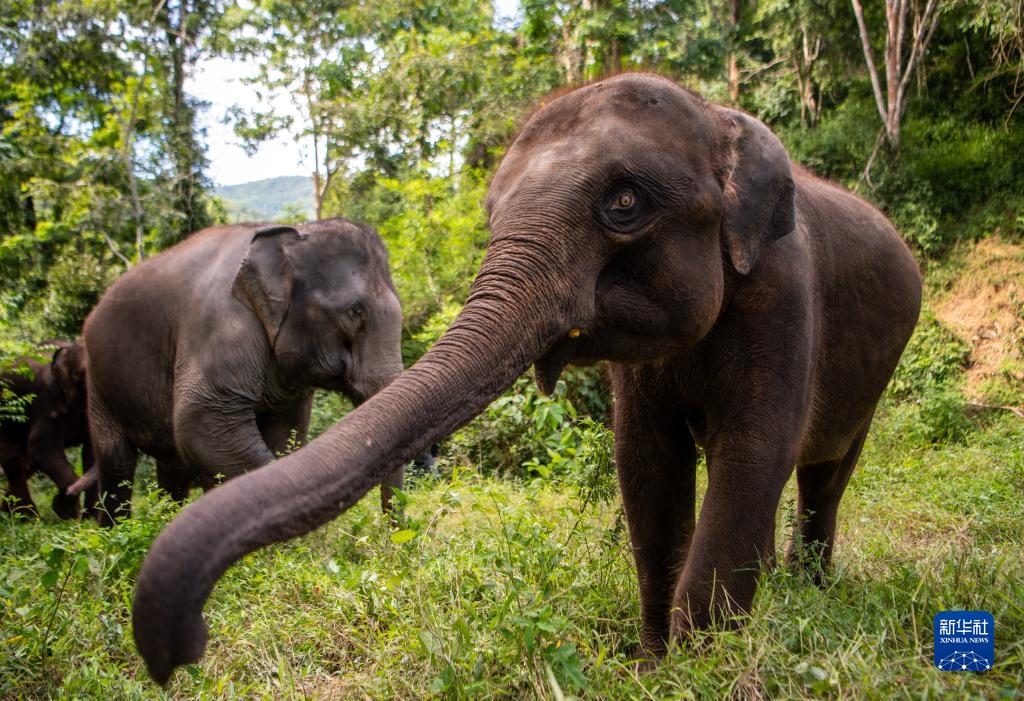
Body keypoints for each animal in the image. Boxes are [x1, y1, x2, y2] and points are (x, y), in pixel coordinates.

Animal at [0, 341, 95, 515]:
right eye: (83, 381)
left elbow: (91, 450)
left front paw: (91, 516)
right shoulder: (47, 399)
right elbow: (41, 446)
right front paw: (67, 511)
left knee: (27, 463)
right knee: (14, 460)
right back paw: (24, 515)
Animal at [80, 218, 415, 523]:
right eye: (354, 312)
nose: (391, 533)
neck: (293, 233)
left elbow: (286, 431)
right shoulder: (220, 326)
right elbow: (200, 420)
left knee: (174, 464)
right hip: (98, 384)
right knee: (118, 461)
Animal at [132, 76, 925, 683]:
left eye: (625, 202)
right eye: (490, 211)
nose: (188, 646)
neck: (718, 116)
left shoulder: (784, 292)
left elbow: (752, 456)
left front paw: (698, 669)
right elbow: (646, 468)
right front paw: (652, 665)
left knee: (827, 470)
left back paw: (810, 589)